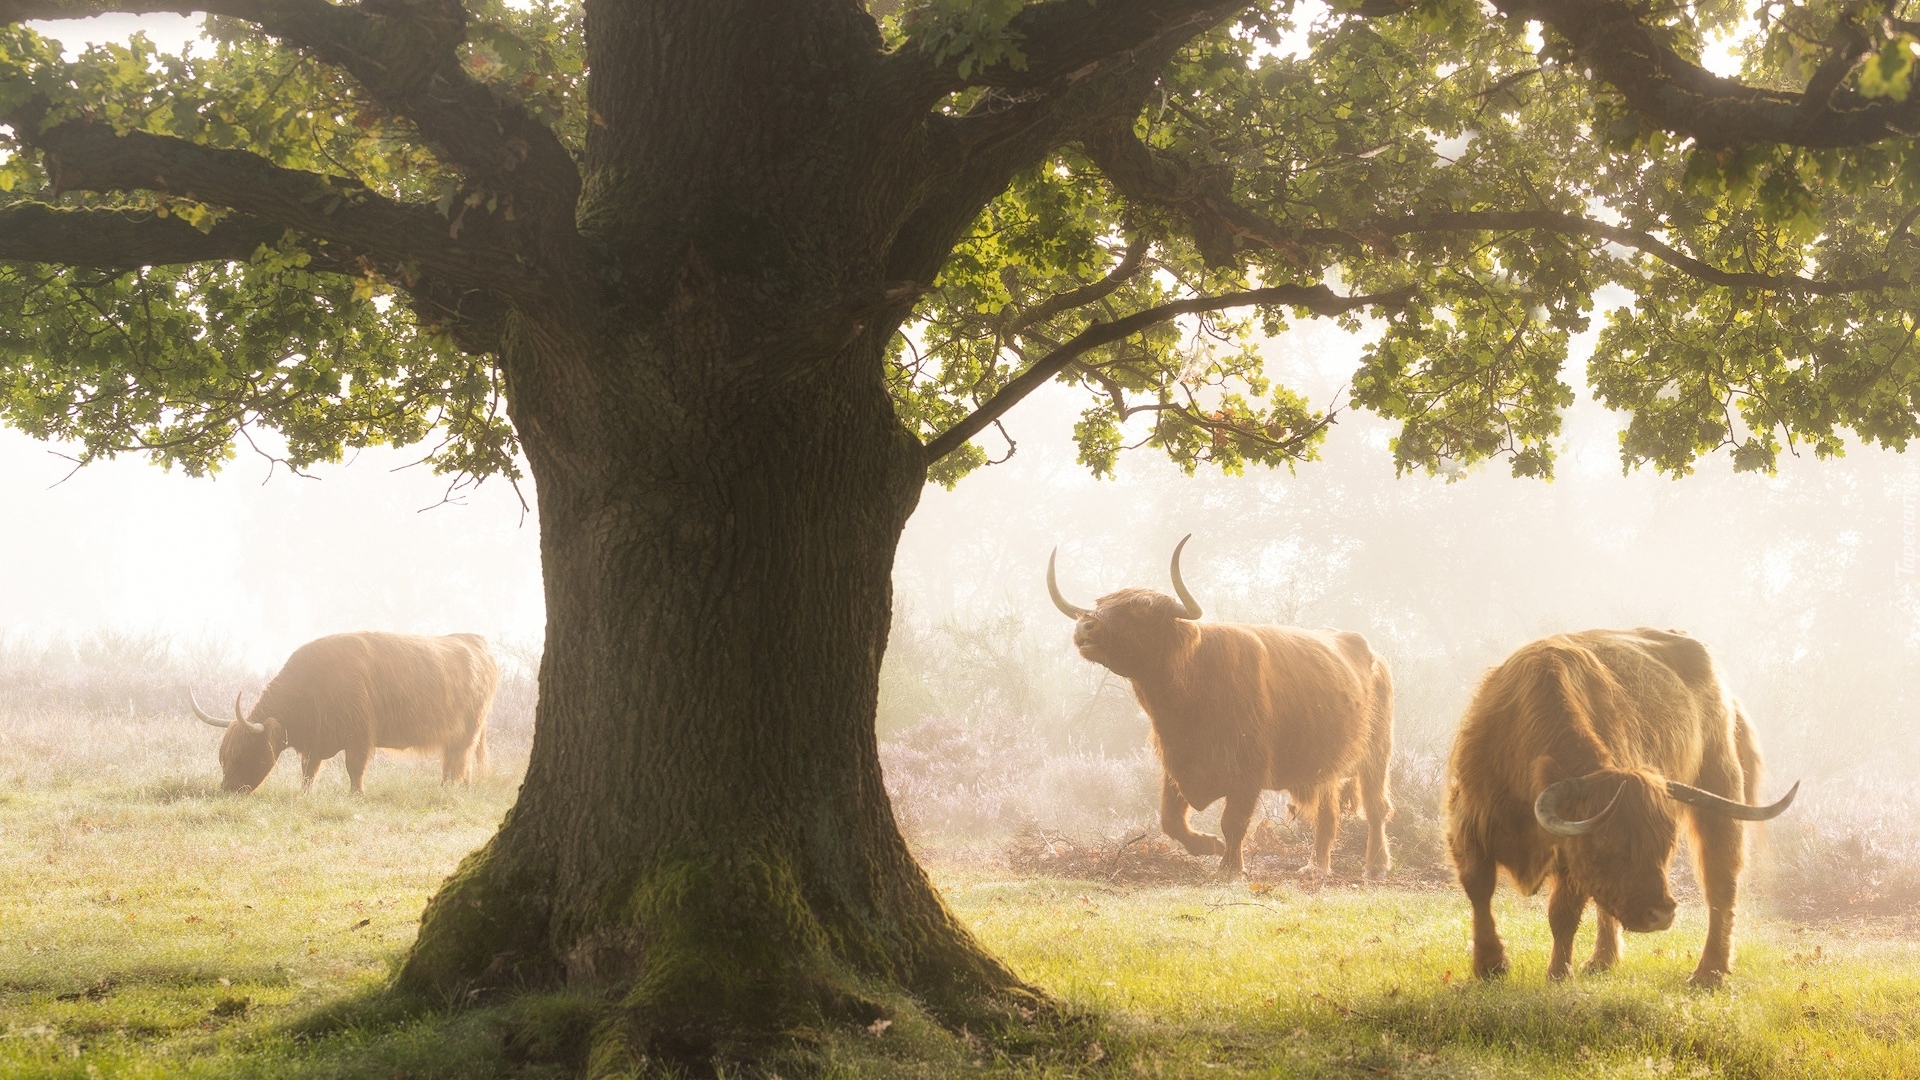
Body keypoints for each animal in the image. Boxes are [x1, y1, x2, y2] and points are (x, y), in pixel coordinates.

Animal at [189, 626, 495, 795]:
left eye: (246, 752)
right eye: (222, 755)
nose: (228, 789)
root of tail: (475, 641)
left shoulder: (359, 735)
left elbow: (354, 768)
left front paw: (356, 795)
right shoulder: (314, 743)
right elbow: (308, 771)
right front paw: (305, 794)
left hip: (468, 729)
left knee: (456, 760)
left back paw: (448, 789)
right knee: (459, 760)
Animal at [1052, 534, 1397, 880]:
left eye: (1141, 608)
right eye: (1101, 605)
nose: (1085, 627)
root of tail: (1375, 656)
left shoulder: (1247, 771)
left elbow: (1233, 822)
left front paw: (1230, 868)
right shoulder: (1176, 766)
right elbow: (1170, 820)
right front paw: (1210, 846)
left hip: (1376, 752)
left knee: (1377, 807)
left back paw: (1376, 866)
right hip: (1326, 763)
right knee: (1329, 814)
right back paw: (1316, 867)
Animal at [1451, 626, 1797, 991]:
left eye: (1664, 847)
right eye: (1608, 844)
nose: (1662, 913)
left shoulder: (1569, 857)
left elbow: (1563, 914)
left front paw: (1558, 974)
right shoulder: (1467, 825)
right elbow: (1479, 892)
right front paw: (1490, 965)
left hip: (1721, 790)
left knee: (1721, 884)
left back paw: (1709, 973)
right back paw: (1602, 960)